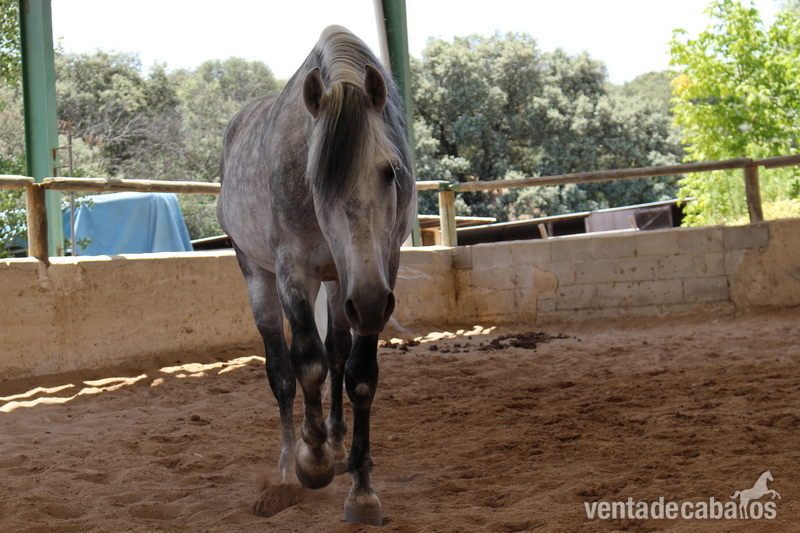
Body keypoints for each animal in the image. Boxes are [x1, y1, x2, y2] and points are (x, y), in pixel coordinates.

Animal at [217, 25, 416, 526]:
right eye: (315, 181)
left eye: (391, 171)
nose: (370, 301)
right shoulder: (294, 270)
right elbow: (306, 363)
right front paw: (314, 460)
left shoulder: (379, 269)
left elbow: (359, 374)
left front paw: (361, 488)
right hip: (258, 274)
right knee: (282, 372)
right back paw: (290, 466)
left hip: (341, 280)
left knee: (338, 353)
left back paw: (337, 440)